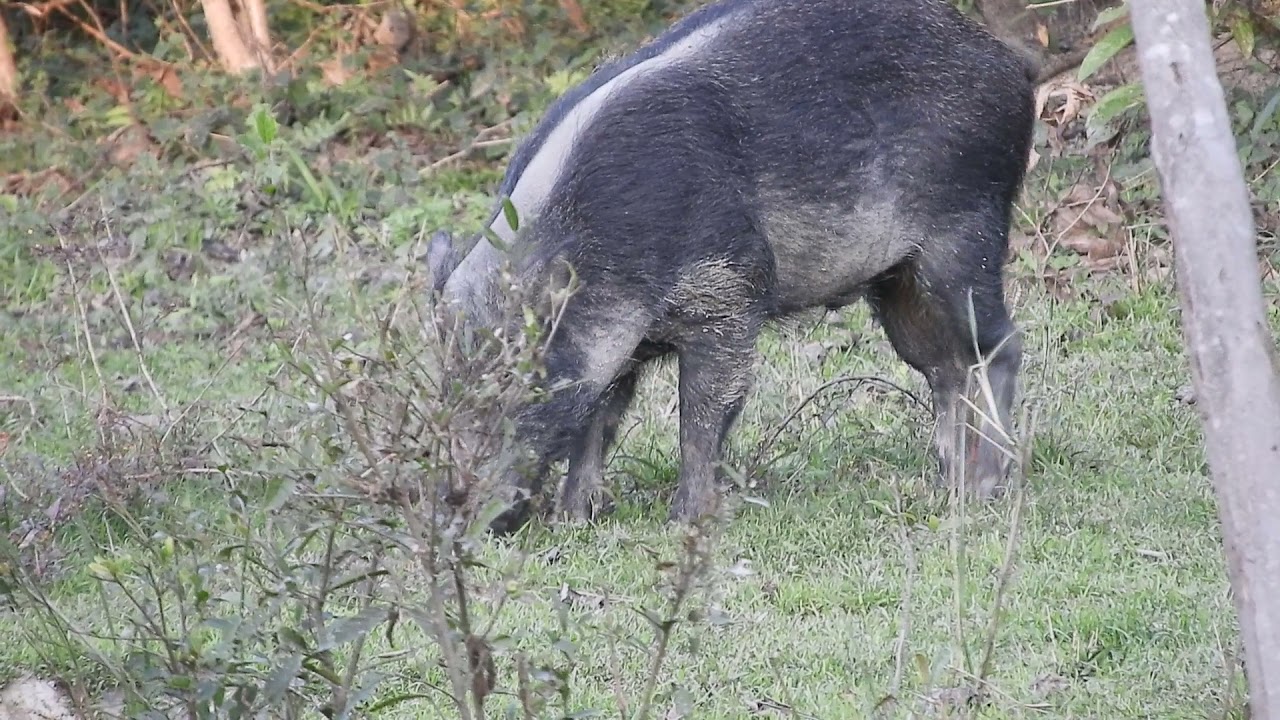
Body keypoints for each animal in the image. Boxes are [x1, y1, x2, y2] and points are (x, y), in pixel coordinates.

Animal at [428, 0, 1039, 533]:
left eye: (517, 384)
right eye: (447, 390)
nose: (461, 518)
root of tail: (1013, 65)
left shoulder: (727, 292)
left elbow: (703, 412)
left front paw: (682, 523)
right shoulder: (618, 344)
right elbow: (597, 421)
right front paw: (574, 521)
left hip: (964, 238)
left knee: (999, 346)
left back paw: (984, 489)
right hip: (895, 282)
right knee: (944, 367)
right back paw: (948, 483)